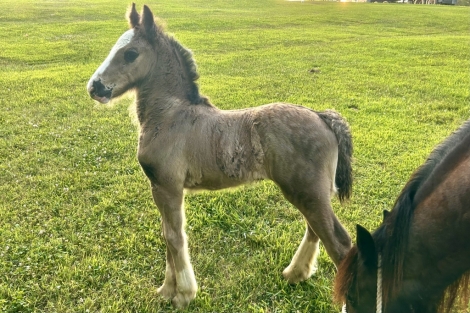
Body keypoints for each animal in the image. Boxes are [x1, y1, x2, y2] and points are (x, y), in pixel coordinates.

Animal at [87, 4, 352, 308]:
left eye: (130, 53)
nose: (94, 87)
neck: (170, 116)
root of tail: (322, 117)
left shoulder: (167, 187)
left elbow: (173, 236)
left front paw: (183, 295)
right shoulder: (162, 188)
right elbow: (168, 236)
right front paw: (167, 290)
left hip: (307, 191)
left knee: (340, 243)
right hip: (310, 193)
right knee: (316, 230)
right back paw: (295, 273)